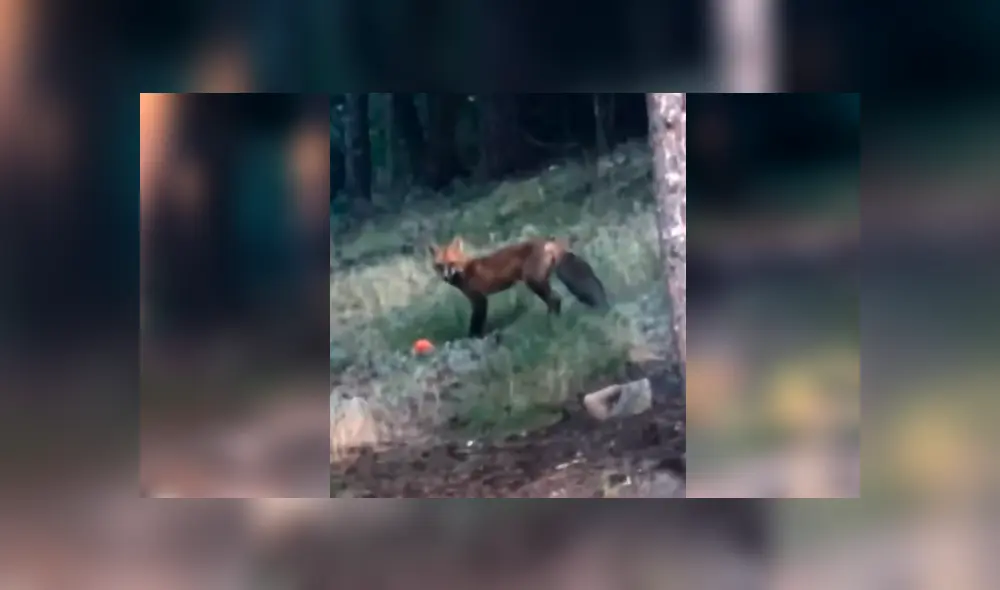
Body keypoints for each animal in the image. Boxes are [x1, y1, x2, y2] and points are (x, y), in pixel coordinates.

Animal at [429, 236, 609, 337]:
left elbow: (476, 322)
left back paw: (550, 324)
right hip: (539, 283)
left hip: (534, 282)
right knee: (554, 301)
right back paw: (551, 322)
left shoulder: (479, 300)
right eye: (439, 266)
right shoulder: (478, 299)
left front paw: (473, 337)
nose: (445, 277)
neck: (466, 269)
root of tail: (548, 243)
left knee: (555, 300)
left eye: (451, 263)